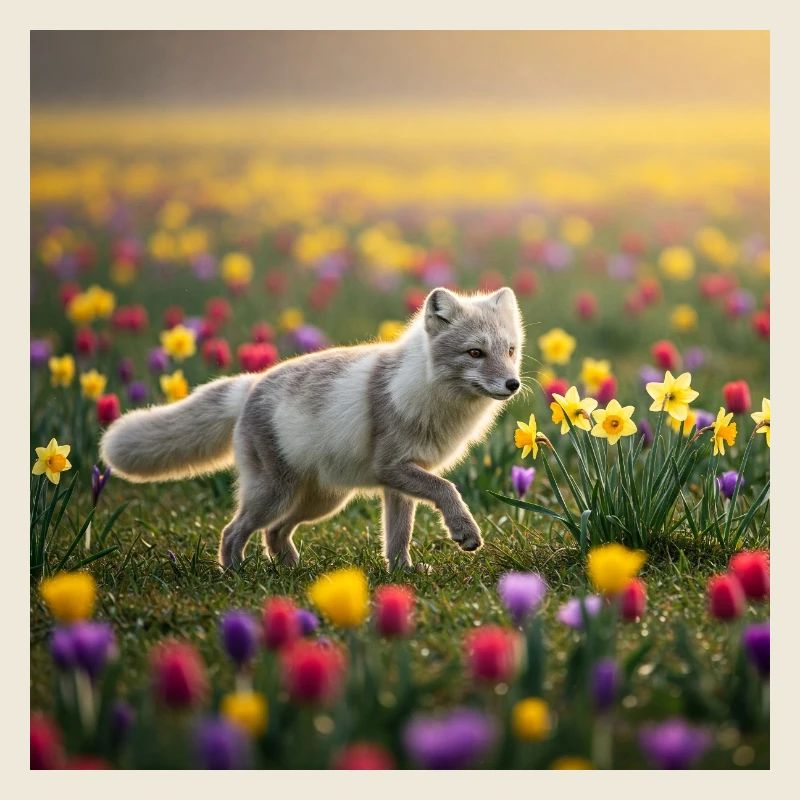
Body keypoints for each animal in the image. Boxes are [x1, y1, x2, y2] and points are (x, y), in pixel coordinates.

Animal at [100, 286, 525, 572]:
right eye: (474, 353)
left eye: (509, 351)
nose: (513, 384)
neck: (427, 389)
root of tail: (252, 384)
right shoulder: (393, 469)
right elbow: (447, 489)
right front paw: (464, 531)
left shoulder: (397, 484)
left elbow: (397, 536)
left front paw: (402, 573)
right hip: (275, 495)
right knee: (233, 531)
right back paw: (235, 574)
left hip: (321, 501)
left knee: (274, 533)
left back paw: (290, 570)